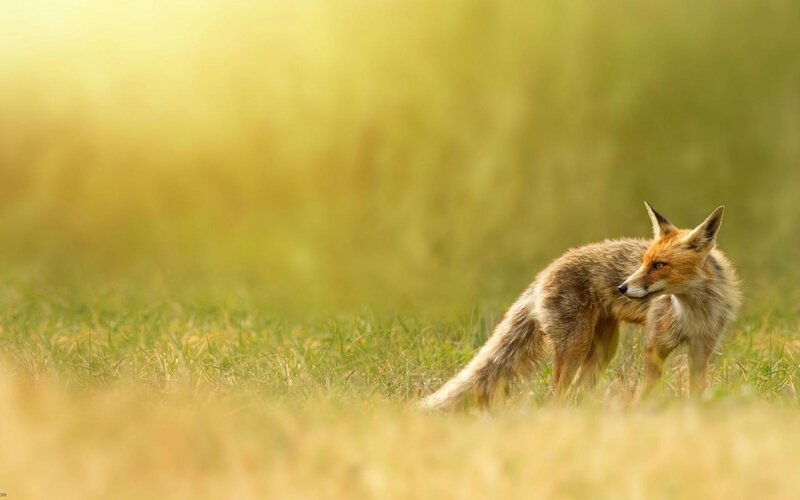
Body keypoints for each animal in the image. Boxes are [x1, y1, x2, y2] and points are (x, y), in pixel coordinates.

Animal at [420, 203, 742, 410]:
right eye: (643, 262)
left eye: (659, 265)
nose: (622, 288)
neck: (694, 311)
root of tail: (544, 272)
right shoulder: (655, 346)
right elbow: (647, 394)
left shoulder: (702, 349)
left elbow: (696, 392)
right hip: (575, 347)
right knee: (556, 396)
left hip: (601, 351)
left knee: (577, 392)